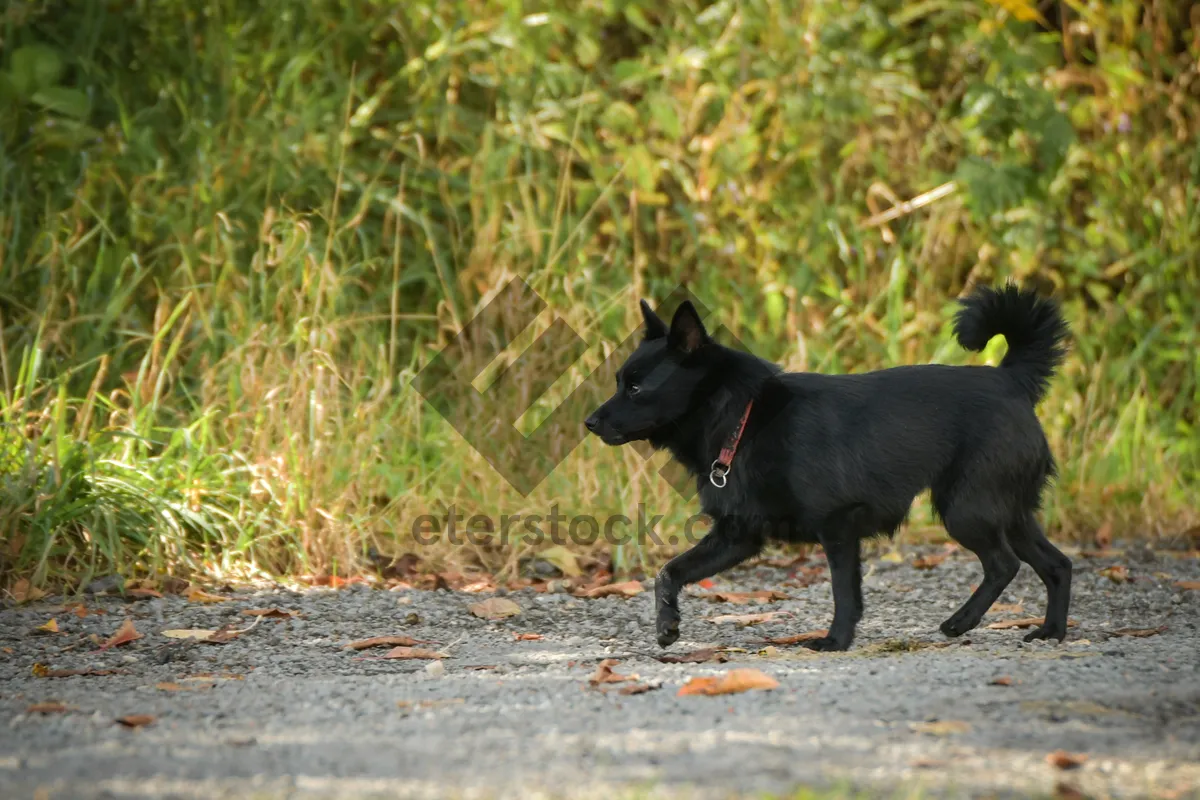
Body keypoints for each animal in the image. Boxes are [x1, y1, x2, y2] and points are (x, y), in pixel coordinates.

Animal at [585, 286, 1075, 652]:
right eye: (620, 382)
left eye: (635, 388)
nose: (588, 422)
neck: (743, 419)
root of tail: (1009, 378)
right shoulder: (736, 537)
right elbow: (669, 572)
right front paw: (667, 624)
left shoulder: (837, 527)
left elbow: (844, 593)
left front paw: (835, 640)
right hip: (1009, 512)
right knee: (1057, 564)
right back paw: (1051, 631)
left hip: (967, 509)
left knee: (1003, 564)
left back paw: (961, 622)